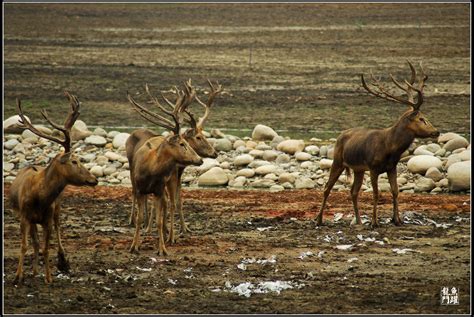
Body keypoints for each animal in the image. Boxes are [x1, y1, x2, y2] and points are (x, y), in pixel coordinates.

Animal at [9, 92, 98, 284]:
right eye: (74, 161)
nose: (94, 179)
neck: (39, 197)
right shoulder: (24, 216)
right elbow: (25, 245)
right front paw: (18, 276)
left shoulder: (47, 218)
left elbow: (46, 247)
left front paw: (49, 277)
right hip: (29, 218)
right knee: (34, 242)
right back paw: (33, 271)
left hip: (57, 208)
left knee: (56, 228)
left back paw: (62, 261)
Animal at [126, 79, 222, 242]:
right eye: (198, 137)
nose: (214, 153)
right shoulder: (169, 178)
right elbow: (168, 203)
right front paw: (167, 233)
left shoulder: (176, 177)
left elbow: (177, 201)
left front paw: (183, 229)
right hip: (131, 168)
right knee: (134, 191)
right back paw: (134, 221)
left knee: (148, 198)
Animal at [314, 59, 440, 227]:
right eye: (421, 118)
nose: (436, 132)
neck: (390, 148)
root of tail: (341, 135)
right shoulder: (373, 168)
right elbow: (376, 194)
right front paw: (375, 222)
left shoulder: (392, 167)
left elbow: (395, 191)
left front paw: (397, 219)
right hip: (338, 160)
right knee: (327, 187)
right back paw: (319, 220)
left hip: (358, 169)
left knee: (353, 191)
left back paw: (359, 221)